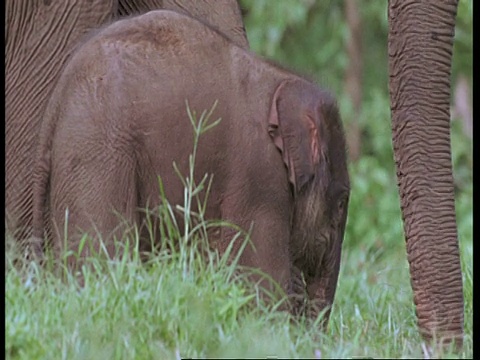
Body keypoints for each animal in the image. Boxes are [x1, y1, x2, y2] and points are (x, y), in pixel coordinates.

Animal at [32, 8, 348, 324]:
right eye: (342, 201)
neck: (282, 79)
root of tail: (57, 101)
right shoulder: (261, 178)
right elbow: (259, 279)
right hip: (99, 150)